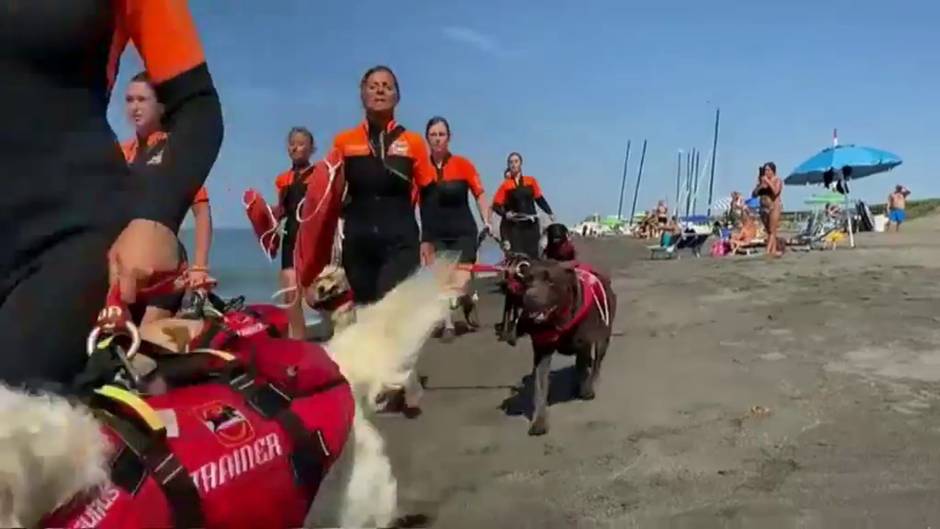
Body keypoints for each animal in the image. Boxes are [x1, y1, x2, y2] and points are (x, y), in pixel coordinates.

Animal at [516, 258, 616, 436]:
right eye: (527, 281)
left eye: (550, 281)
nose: (529, 297)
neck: (558, 320)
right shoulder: (542, 351)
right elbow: (540, 387)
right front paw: (539, 422)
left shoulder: (584, 343)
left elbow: (582, 368)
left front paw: (584, 389)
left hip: (603, 336)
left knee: (596, 363)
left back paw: (589, 384)